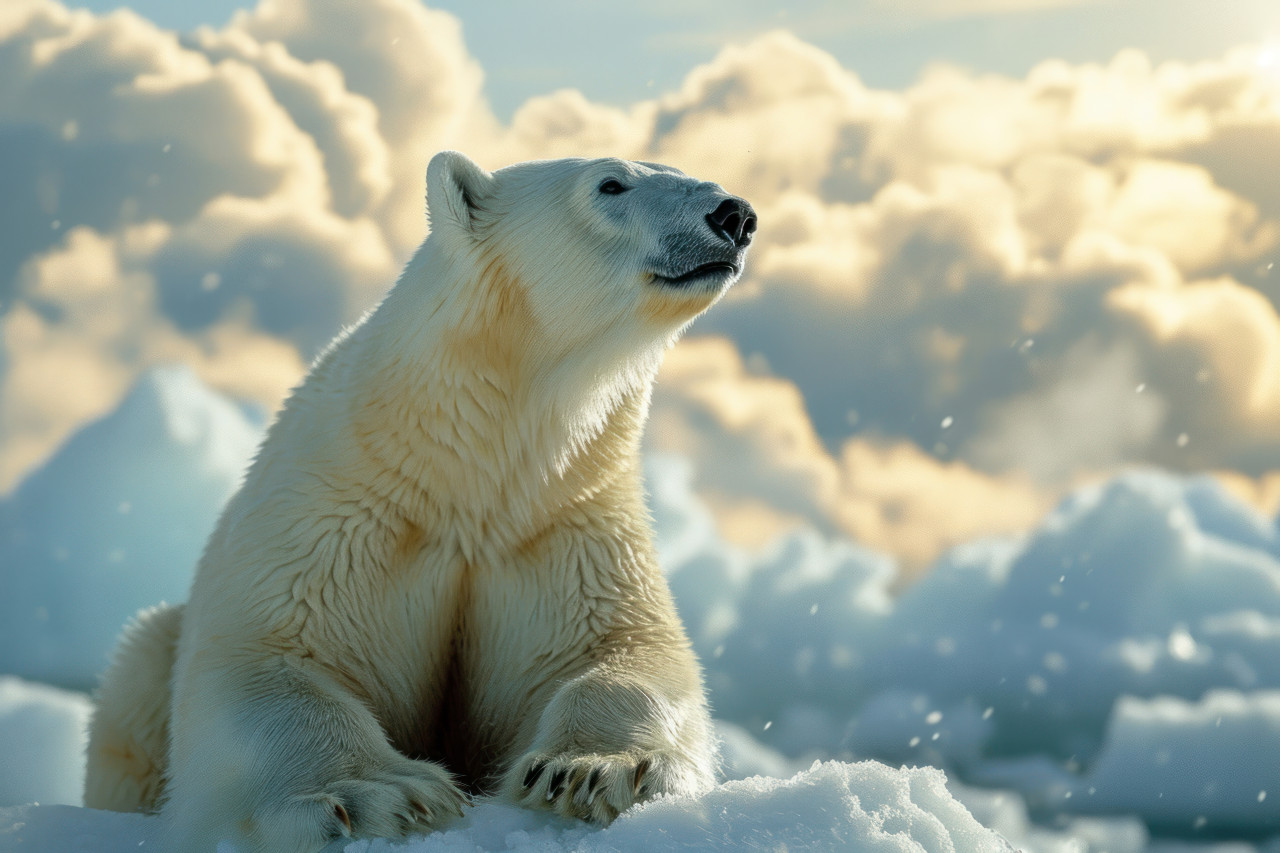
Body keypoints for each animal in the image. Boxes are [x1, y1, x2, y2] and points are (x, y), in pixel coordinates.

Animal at [84, 150, 757, 852]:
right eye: (610, 183)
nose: (734, 214)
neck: (465, 473)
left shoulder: (561, 522)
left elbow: (628, 650)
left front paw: (596, 771)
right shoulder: (340, 514)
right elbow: (271, 658)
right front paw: (383, 794)